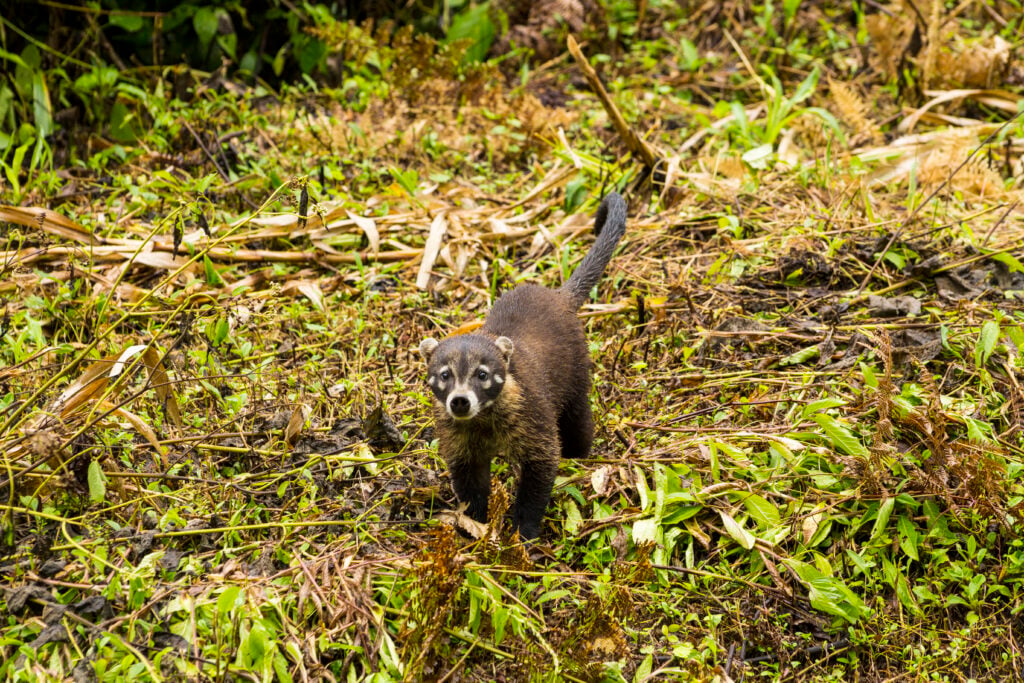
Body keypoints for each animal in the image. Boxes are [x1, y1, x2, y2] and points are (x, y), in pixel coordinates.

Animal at [419, 192, 627, 539]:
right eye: (444, 375)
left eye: (482, 374)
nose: (460, 402)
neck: (483, 421)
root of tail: (559, 296)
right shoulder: (458, 443)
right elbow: (469, 484)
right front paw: (476, 522)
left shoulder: (534, 419)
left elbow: (541, 471)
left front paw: (523, 531)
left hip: (575, 374)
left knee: (578, 422)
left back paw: (581, 453)